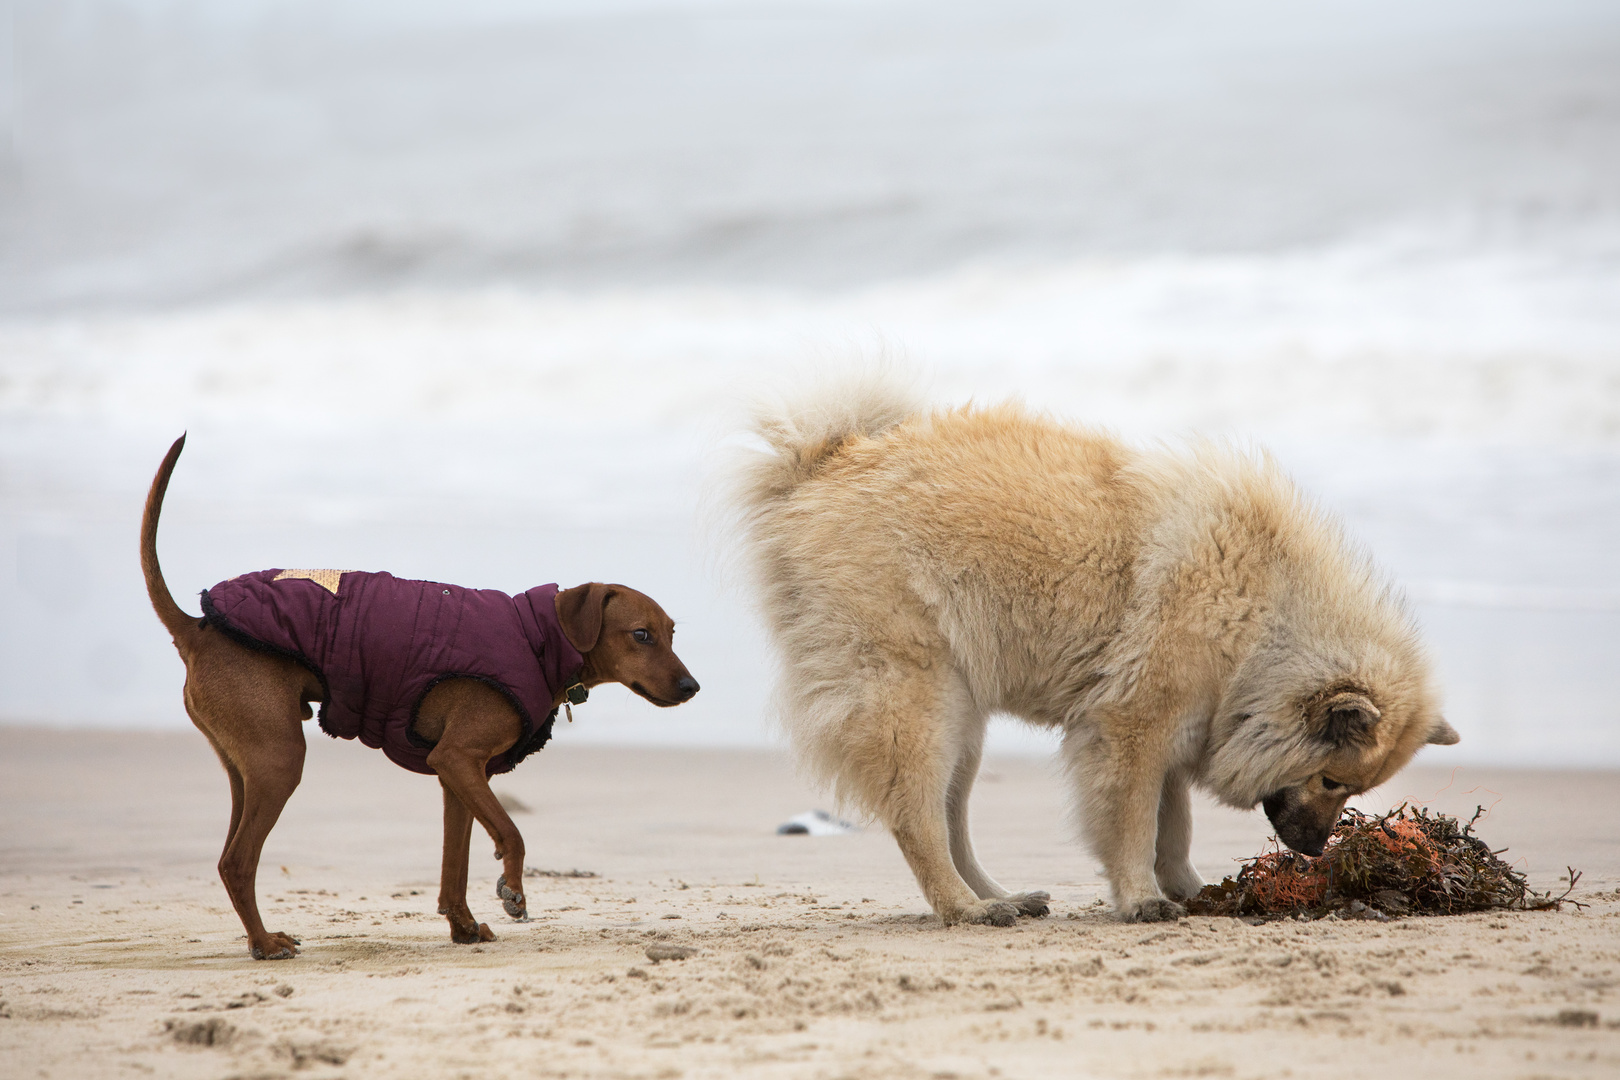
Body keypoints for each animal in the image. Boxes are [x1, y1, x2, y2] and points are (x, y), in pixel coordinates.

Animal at [140, 433, 696, 958]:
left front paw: (464, 926)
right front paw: (513, 891)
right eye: (641, 635)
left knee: (229, 857)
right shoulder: (457, 758)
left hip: (246, 767)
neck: (539, 636)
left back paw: (261, 936)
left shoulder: (458, 774)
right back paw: (264, 943)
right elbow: (512, 834)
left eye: (672, 633)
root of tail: (198, 628)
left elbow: (456, 865)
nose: (693, 687)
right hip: (280, 759)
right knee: (238, 861)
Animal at [729, 378, 1464, 919]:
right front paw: (1141, 899)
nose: (1313, 851)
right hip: (918, 707)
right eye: (1333, 781)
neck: (1266, 621)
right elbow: (1135, 822)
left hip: (963, 725)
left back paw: (1002, 899)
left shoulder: (1177, 729)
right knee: (919, 821)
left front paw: (1189, 888)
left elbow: (1174, 825)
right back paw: (966, 909)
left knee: (952, 821)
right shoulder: (1131, 729)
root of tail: (827, 465)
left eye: (1352, 791)